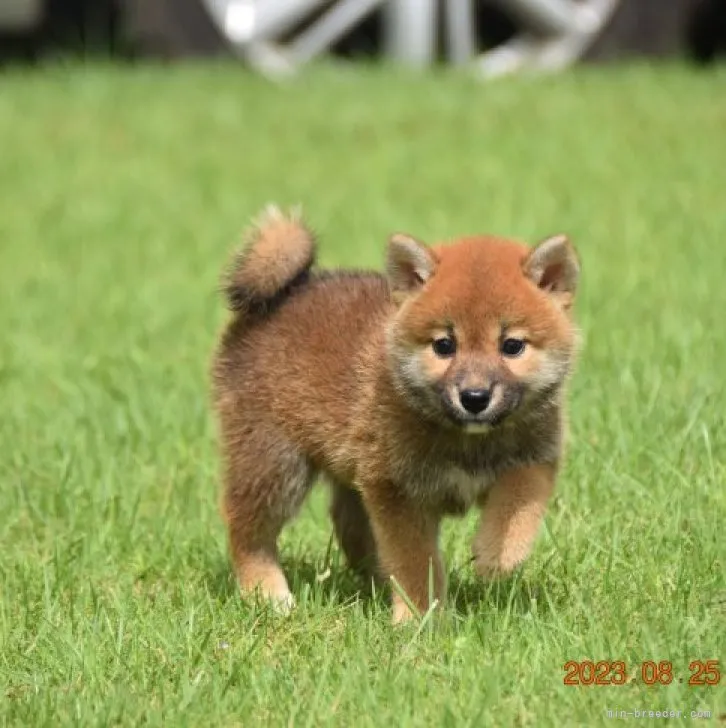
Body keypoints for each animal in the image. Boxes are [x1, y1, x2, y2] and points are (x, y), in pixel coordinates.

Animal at [212, 206, 580, 624]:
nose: (474, 397)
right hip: (275, 464)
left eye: (512, 346)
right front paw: (420, 617)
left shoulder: (535, 457)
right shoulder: (398, 490)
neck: (468, 440)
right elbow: (415, 560)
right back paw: (267, 593)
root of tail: (282, 296)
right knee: (247, 530)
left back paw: (374, 582)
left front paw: (495, 554)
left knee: (351, 528)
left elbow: (518, 504)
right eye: (444, 345)